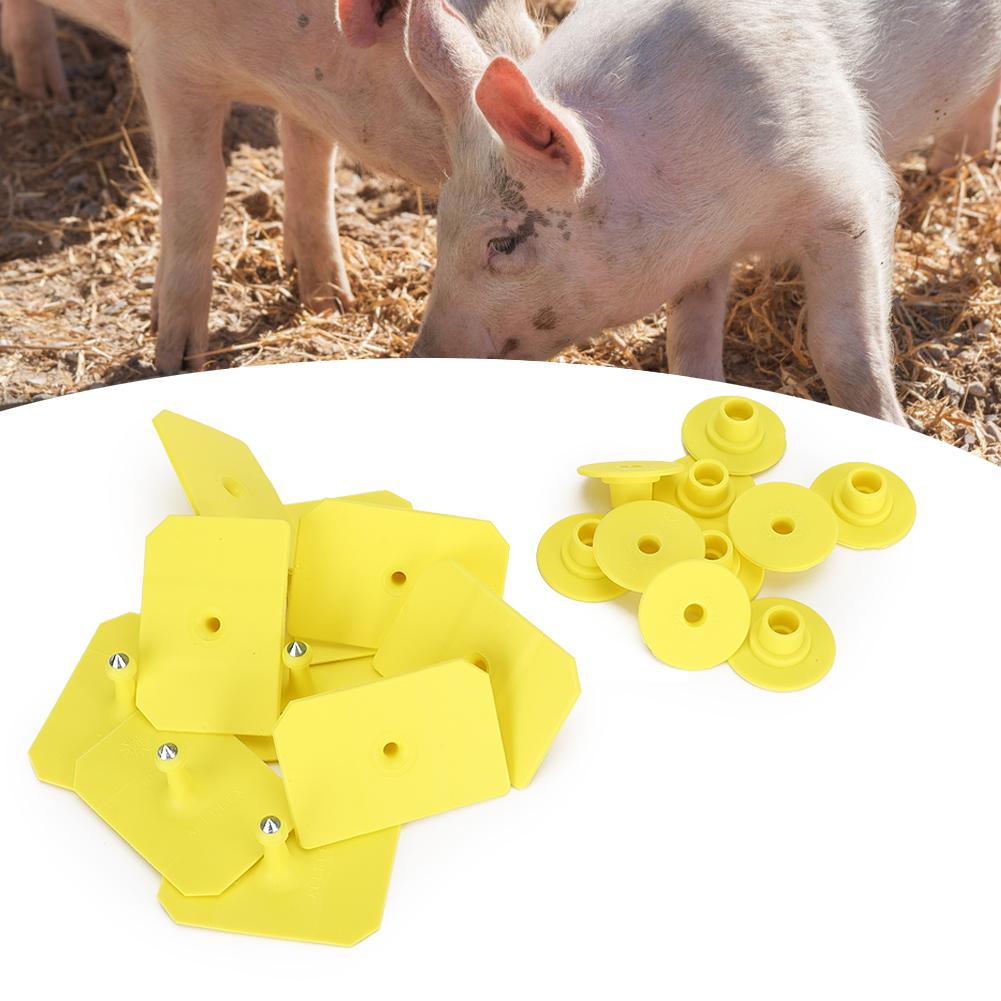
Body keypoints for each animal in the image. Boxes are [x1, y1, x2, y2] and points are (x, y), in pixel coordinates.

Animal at [4, 0, 541, 373]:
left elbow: (312, 165)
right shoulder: (166, 63)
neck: (268, 73)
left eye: (535, 44)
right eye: (432, 90)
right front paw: (176, 361)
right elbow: (199, 188)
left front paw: (331, 302)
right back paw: (47, 95)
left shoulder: (314, 97)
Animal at [405, 0, 1001, 425]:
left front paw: (890, 427)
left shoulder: (849, 194)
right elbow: (687, 345)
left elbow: (843, 349)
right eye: (440, 228)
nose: (421, 357)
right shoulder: (698, 255)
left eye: (502, 243)